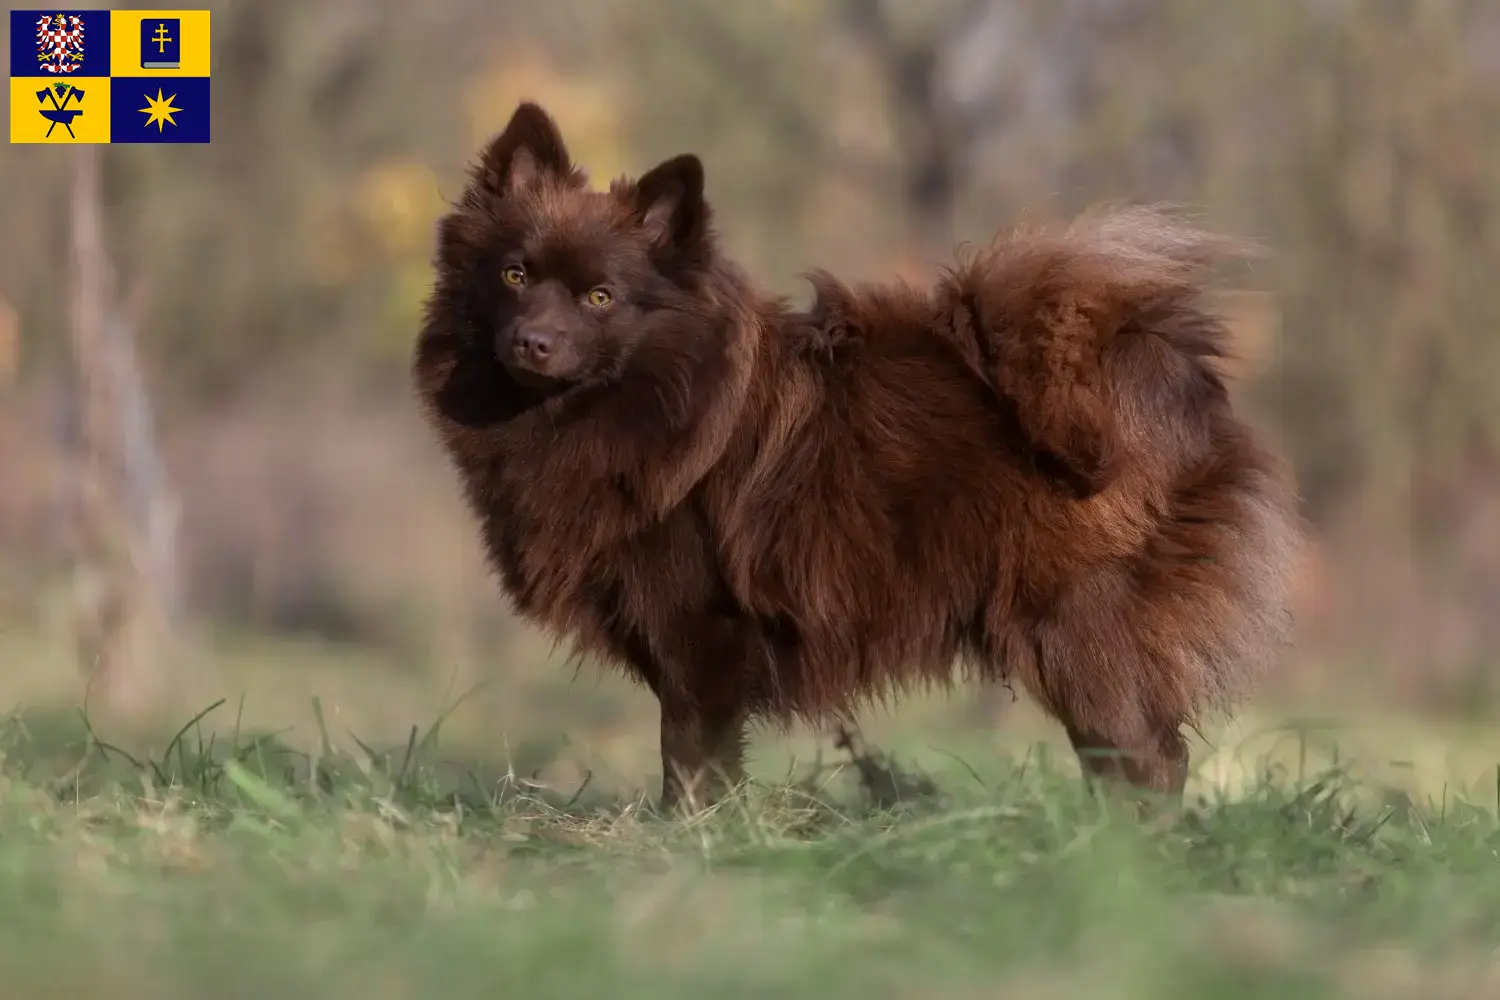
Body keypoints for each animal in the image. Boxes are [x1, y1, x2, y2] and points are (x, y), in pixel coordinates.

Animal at [414, 101, 1302, 809]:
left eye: (600, 298)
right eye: (515, 275)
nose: (533, 342)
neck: (636, 402)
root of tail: (1161, 369)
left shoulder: (700, 634)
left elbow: (691, 758)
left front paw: (689, 841)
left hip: (1076, 625)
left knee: (1146, 758)